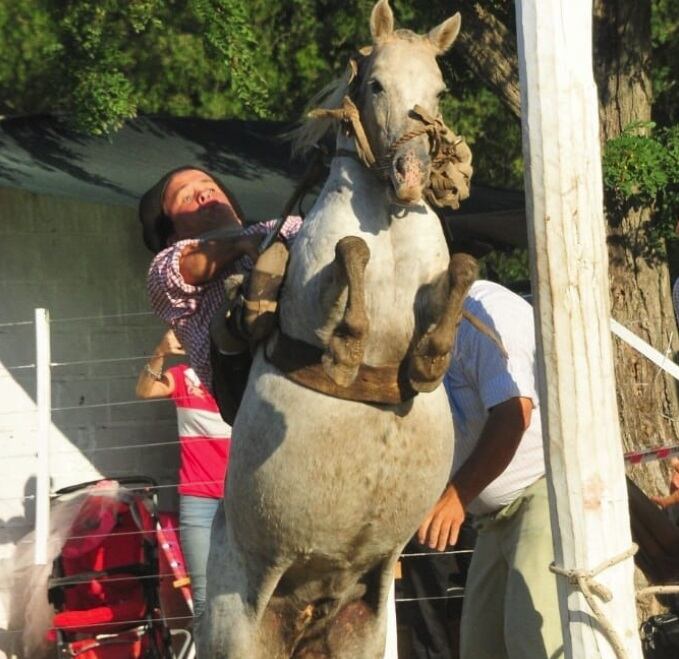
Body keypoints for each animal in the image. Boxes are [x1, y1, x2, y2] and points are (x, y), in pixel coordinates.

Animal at [205, 2, 476, 656]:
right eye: (375, 84)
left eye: (439, 89)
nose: (412, 176)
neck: (391, 219)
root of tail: (307, 612)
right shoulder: (313, 293)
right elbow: (350, 253)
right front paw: (348, 350)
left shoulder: (438, 285)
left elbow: (460, 275)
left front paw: (429, 359)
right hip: (235, 632)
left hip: (362, 633)